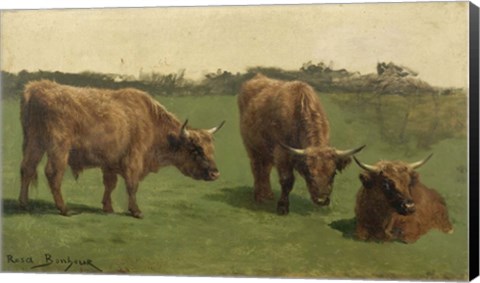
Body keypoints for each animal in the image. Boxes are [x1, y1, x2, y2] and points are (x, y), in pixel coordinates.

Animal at [18, 80, 225, 220]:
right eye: (196, 149)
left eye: (211, 149)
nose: (215, 173)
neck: (151, 122)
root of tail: (37, 87)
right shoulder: (133, 161)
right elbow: (132, 185)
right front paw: (136, 211)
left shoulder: (110, 162)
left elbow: (110, 184)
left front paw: (108, 208)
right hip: (58, 148)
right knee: (53, 174)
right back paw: (64, 209)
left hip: (34, 144)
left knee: (27, 168)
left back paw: (24, 204)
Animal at [238, 74, 366, 215]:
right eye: (309, 173)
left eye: (333, 174)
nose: (321, 200)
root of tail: (258, 77)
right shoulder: (282, 154)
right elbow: (287, 180)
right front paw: (282, 207)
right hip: (251, 146)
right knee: (256, 167)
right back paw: (259, 196)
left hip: (266, 150)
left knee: (265, 169)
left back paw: (268, 195)